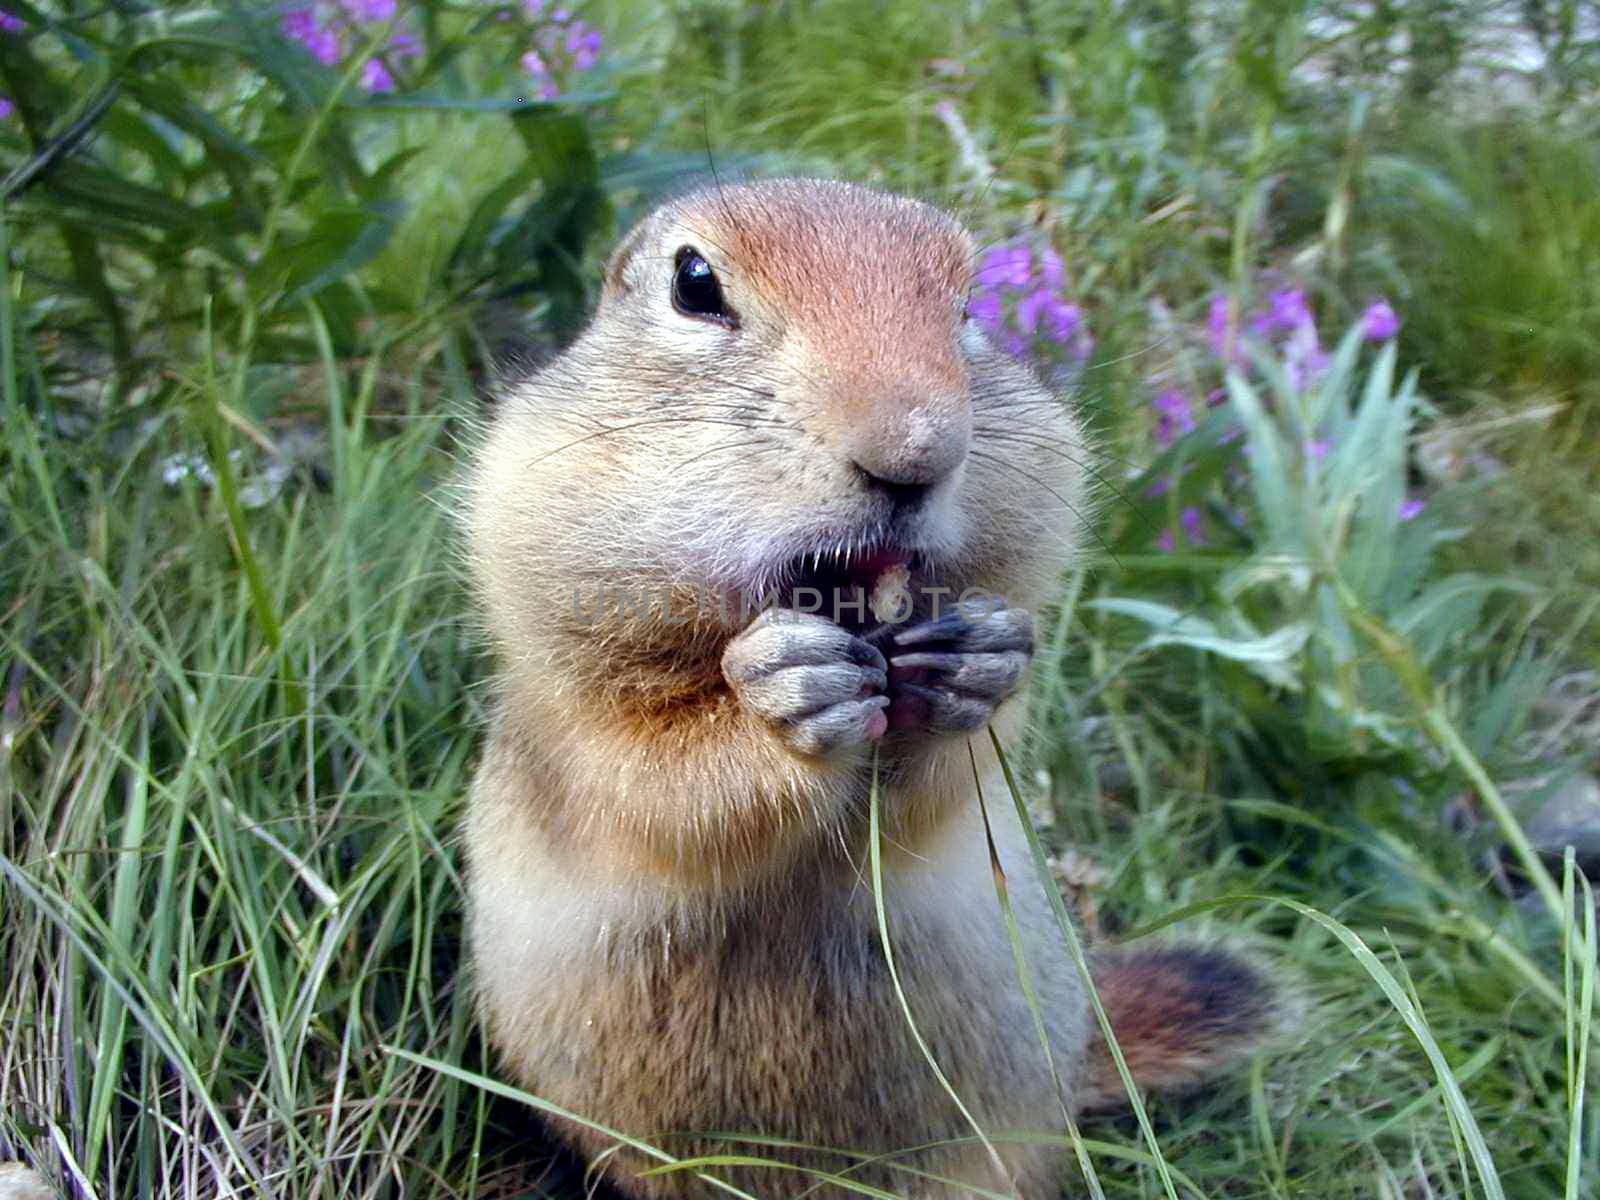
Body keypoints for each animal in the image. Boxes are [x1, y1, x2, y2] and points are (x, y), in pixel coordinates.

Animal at [460, 178, 1273, 1200]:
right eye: (694, 284)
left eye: (969, 307)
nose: (915, 451)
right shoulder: (568, 688)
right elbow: (646, 783)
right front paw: (783, 699)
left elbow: (949, 796)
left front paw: (977, 662)